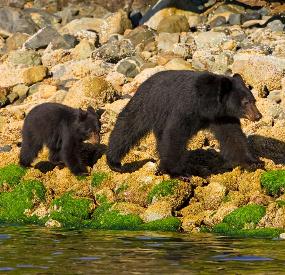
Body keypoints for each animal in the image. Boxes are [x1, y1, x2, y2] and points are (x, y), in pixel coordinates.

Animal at [105, 70, 260, 179]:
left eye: (254, 100)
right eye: (246, 102)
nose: (258, 116)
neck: (207, 105)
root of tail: (144, 82)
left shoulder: (222, 117)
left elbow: (233, 137)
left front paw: (253, 162)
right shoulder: (186, 107)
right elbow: (175, 135)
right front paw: (179, 173)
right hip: (148, 104)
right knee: (128, 126)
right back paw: (114, 162)